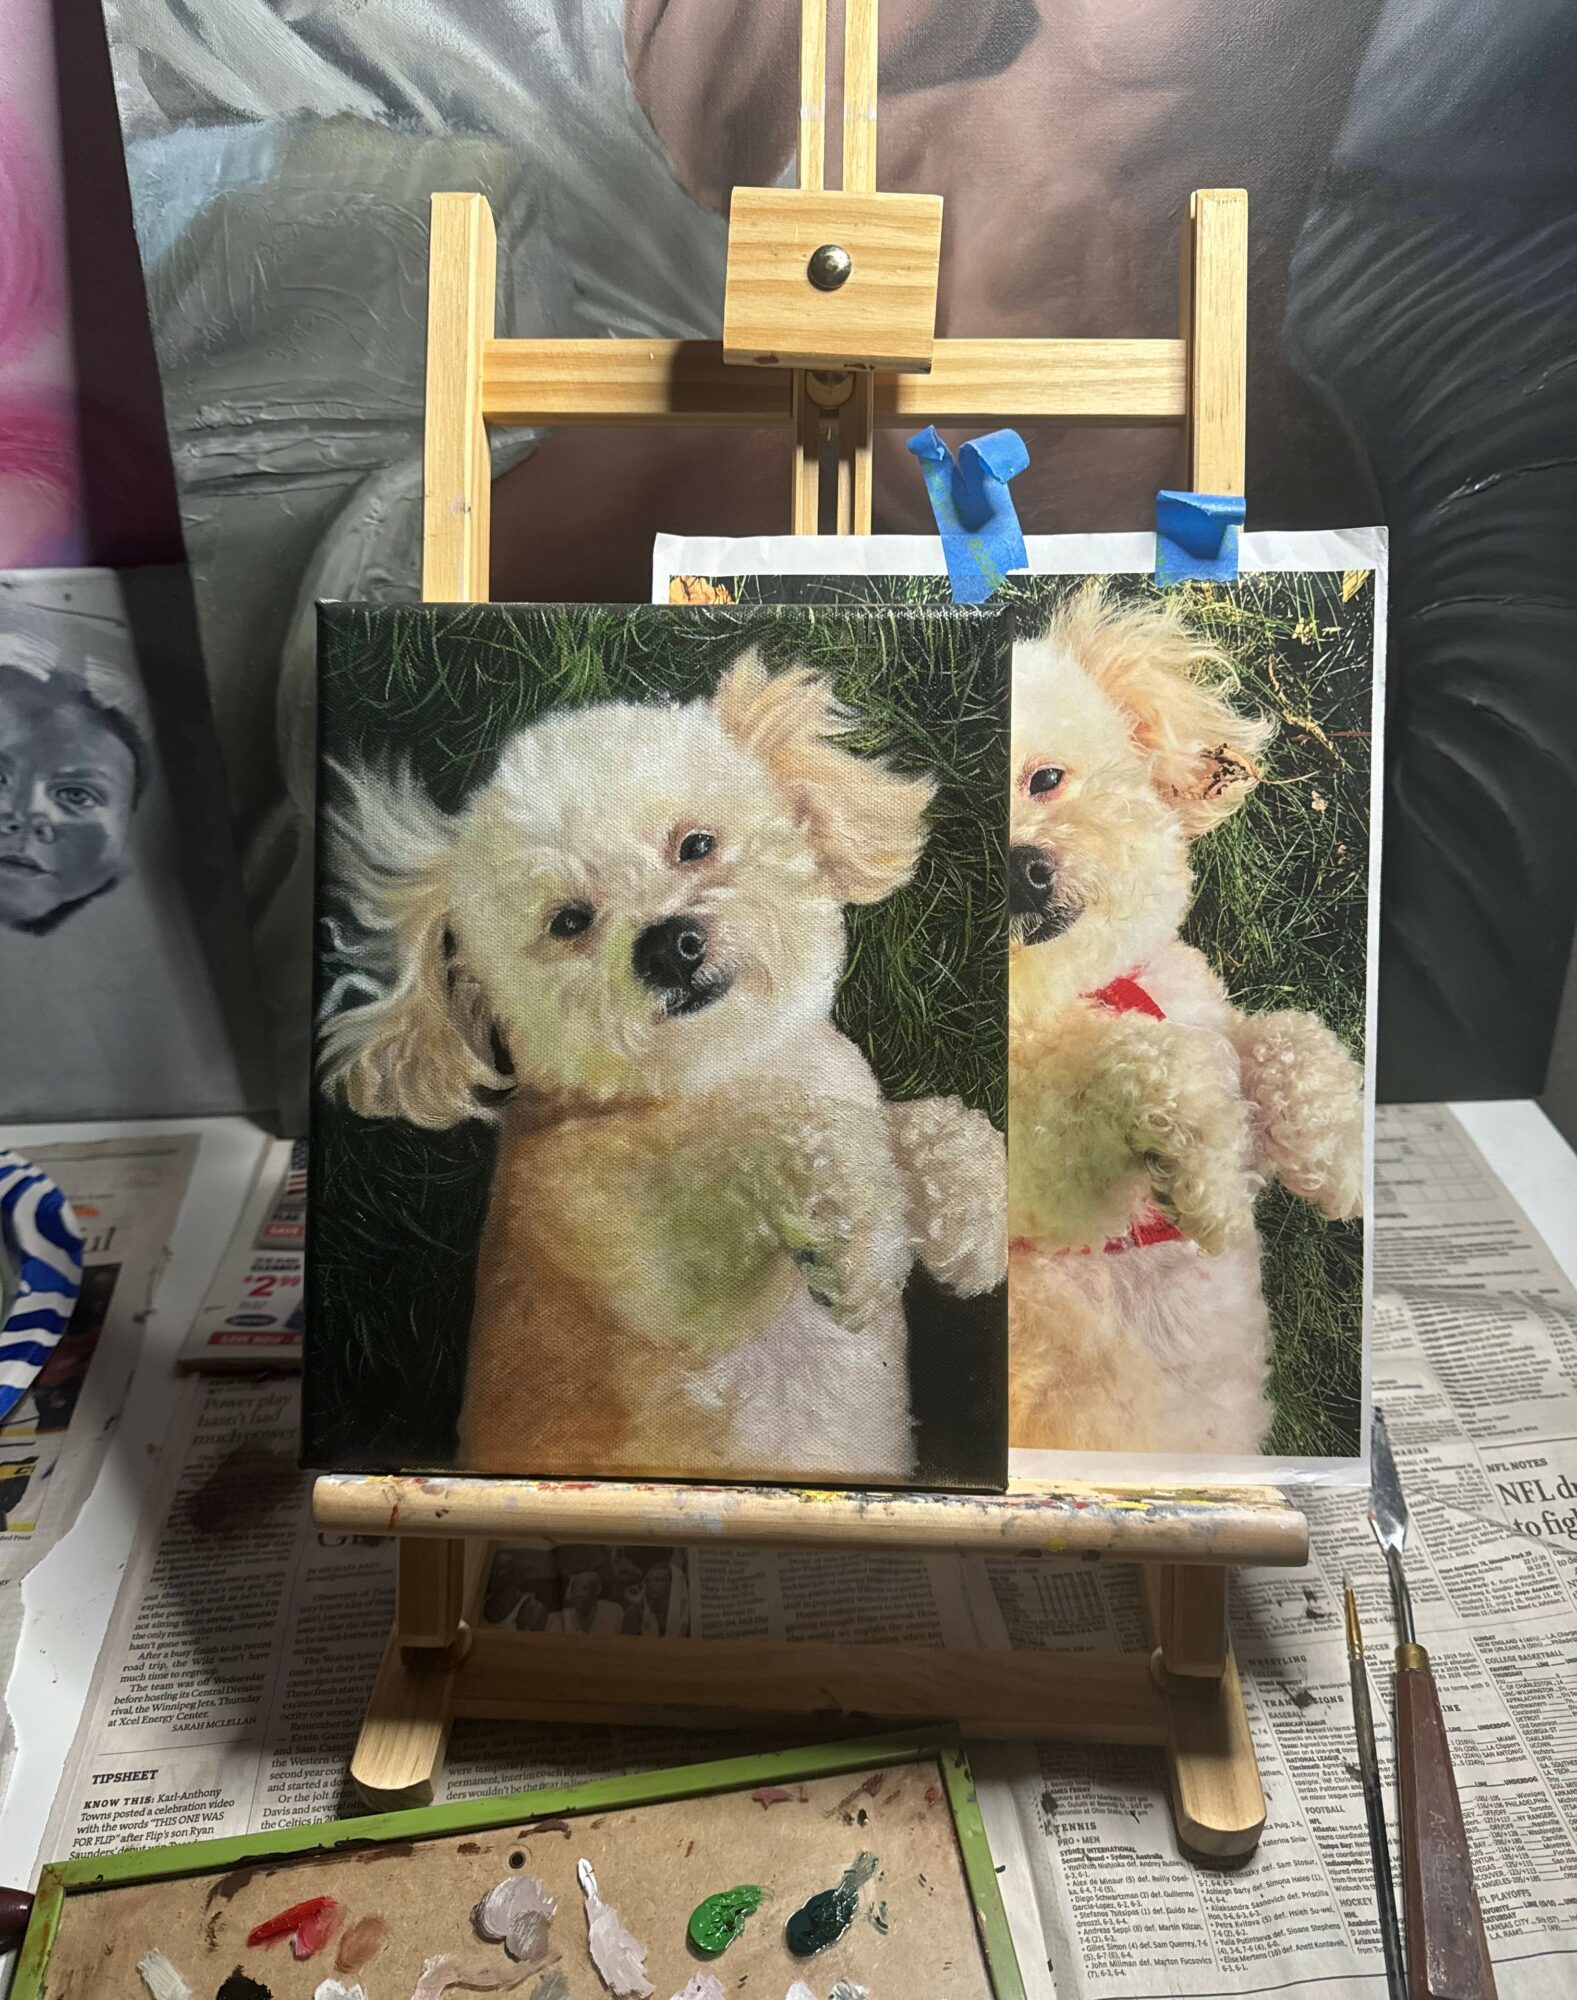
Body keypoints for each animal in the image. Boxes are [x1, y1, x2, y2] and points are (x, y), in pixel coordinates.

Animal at [318, 652, 1006, 1481]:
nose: (668, 944)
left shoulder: (852, 1096)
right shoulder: (649, 1267)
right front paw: (862, 1244)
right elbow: (779, 1141)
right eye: (569, 922)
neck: (722, 1072)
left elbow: (925, 1125)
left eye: (695, 845)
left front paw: (974, 1218)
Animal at [1008, 585, 1365, 1456]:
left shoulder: (1205, 1013)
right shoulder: (1055, 1191)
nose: (1019, 871)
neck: (1089, 987)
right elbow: (1147, 1067)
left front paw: (1338, 1160)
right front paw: (1208, 1185)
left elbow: (1285, 1040)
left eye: (1046, 778)